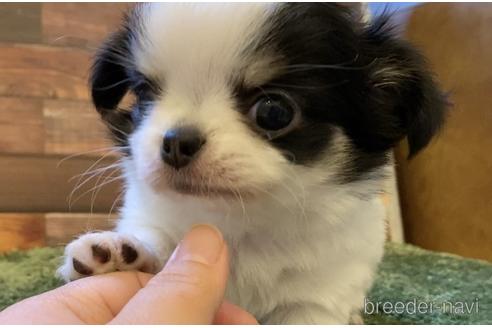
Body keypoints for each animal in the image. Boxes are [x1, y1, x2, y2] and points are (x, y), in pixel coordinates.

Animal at [57, 3, 446, 324]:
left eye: (274, 112)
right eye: (145, 95)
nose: (176, 141)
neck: (239, 223)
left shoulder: (315, 302)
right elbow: (153, 235)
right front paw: (119, 251)